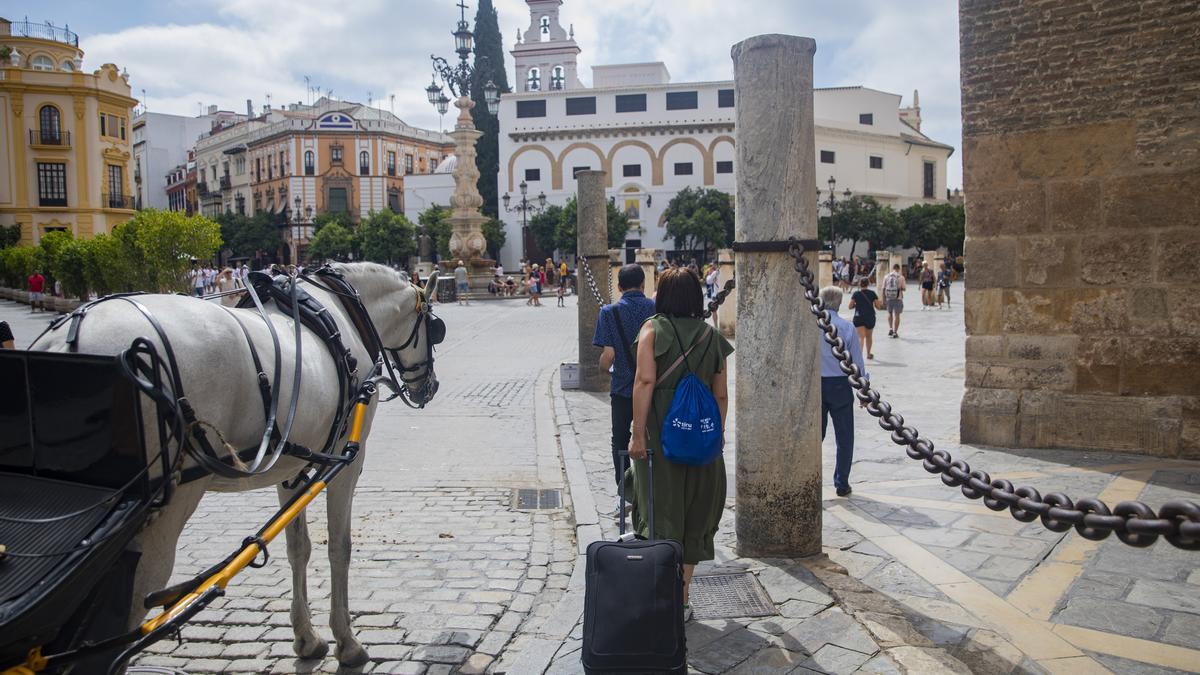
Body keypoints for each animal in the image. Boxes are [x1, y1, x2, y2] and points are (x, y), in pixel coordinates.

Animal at [30, 260, 439, 662]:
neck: (340, 309)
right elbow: (339, 546)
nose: (430, 387)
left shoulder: (291, 464)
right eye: (434, 328)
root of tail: (68, 338)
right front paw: (347, 642)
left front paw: (306, 638)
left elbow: (297, 547)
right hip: (165, 510)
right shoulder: (347, 461)